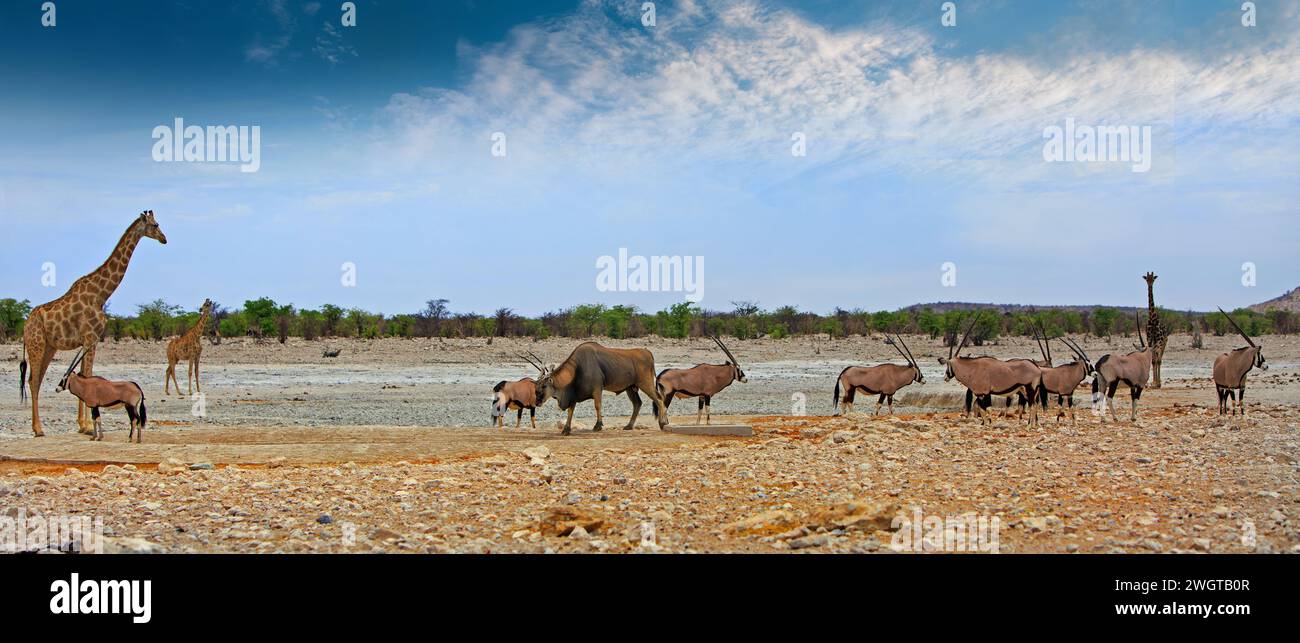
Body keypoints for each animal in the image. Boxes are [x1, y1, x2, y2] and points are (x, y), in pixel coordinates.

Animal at [17, 211, 166, 439]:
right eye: (155, 224)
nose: (164, 239)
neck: (101, 294)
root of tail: (25, 325)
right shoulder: (90, 337)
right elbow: (87, 375)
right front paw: (87, 426)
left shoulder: (91, 340)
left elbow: (86, 375)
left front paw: (83, 425)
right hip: (37, 345)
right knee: (33, 381)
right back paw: (39, 429)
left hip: (49, 347)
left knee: (36, 379)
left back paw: (37, 427)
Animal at [533, 342, 665, 439]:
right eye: (537, 386)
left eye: (544, 386)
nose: (537, 401)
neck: (577, 368)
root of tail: (647, 352)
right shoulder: (574, 396)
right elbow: (571, 411)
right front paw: (566, 430)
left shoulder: (597, 389)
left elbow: (597, 405)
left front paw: (598, 426)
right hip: (631, 388)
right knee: (638, 403)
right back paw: (629, 426)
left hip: (645, 384)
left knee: (659, 399)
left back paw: (663, 422)